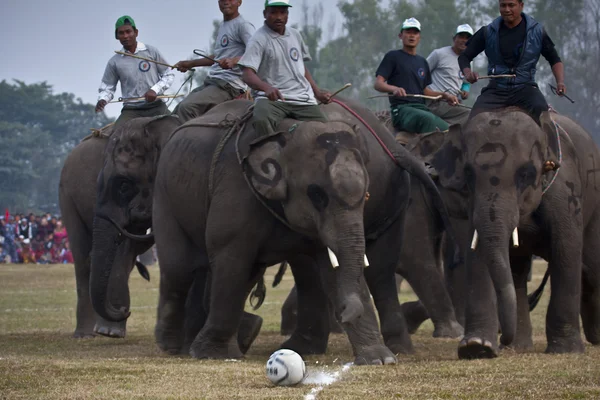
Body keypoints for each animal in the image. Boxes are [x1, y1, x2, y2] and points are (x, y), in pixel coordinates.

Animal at [149, 96, 454, 362]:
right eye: (317, 195)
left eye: (366, 195)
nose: (345, 314)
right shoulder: (236, 188)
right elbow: (230, 260)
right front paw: (210, 354)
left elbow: (333, 267)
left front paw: (379, 359)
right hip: (164, 193)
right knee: (179, 266)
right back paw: (172, 345)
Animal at [412, 108, 600, 358]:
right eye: (468, 175)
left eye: (526, 174)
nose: (502, 339)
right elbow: (478, 251)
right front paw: (477, 347)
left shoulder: (566, 191)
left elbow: (566, 249)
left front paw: (565, 351)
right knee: (519, 270)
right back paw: (519, 345)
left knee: (590, 265)